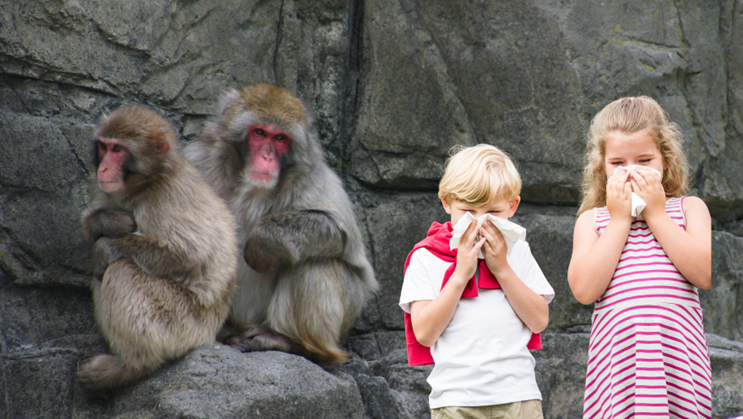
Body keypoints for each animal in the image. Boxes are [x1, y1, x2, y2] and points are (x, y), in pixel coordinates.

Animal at [79, 106, 237, 390]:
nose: (104, 167)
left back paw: (132, 365)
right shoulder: (99, 186)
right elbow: (89, 222)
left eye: (118, 150)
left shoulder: (167, 195)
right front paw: (109, 220)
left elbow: (186, 254)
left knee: (119, 269)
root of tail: (210, 333)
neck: (145, 182)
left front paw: (106, 246)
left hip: (179, 322)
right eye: (104, 147)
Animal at [181, 83, 378, 366]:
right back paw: (224, 333)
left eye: (280, 139)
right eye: (260, 133)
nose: (266, 156)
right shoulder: (197, 160)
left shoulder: (310, 174)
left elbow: (337, 229)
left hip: (349, 310)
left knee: (314, 263)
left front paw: (261, 243)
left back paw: (292, 342)